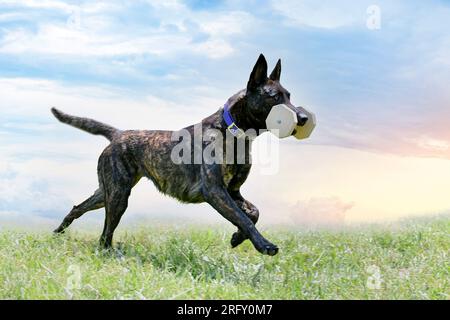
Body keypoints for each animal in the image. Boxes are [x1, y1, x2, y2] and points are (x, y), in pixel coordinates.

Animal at [50, 54, 310, 255]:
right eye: (274, 97)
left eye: (289, 95)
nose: (304, 117)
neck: (231, 131)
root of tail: (119, 134)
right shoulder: (215, 191)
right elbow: (243, 217)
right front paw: (264, 244)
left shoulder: (233, 191)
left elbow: (254, 212)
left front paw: (238, 238)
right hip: (118, 195)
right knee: (105, 235)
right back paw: (110, 253)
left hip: (107, 191)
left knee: (79, 208)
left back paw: (58, 232)